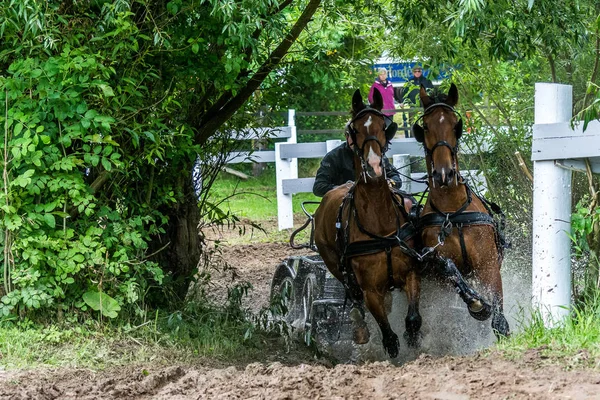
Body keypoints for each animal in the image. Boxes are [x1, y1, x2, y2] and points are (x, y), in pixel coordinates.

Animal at [314, 89, 422, 358]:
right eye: (355, 129)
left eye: (384, 126)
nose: (373, 167)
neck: (380, 226)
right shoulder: (370, 290)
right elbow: (388, 336)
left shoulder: (411, 272)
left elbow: (413, 319)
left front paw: (415, 341)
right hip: (336, 267)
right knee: (354, 300)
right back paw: (360, 329)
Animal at [414, 83, 508, 338]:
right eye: (426, 126)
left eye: (455, 124)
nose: (444, 174)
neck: (453, 212)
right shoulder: (439, 267)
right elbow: (448, 268)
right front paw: (476, 304)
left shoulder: (488, 264)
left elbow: (499, 319)